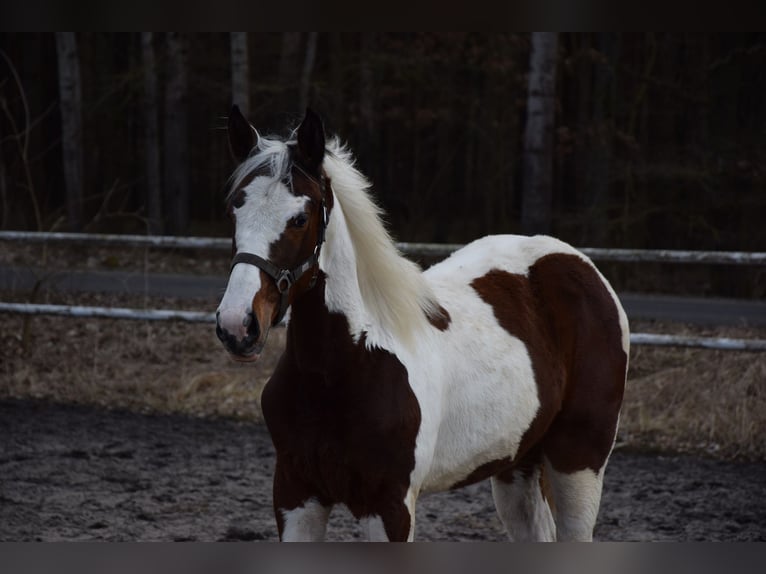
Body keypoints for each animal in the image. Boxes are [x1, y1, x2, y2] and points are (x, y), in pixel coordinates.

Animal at [215, 106, 630, 542]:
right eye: (233, 210)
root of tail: (579, 265)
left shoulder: (391, 507)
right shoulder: (296, 496)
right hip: (517, 465)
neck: (343, 367)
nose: (238, 325)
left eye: (300, 218)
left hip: (578, 460)